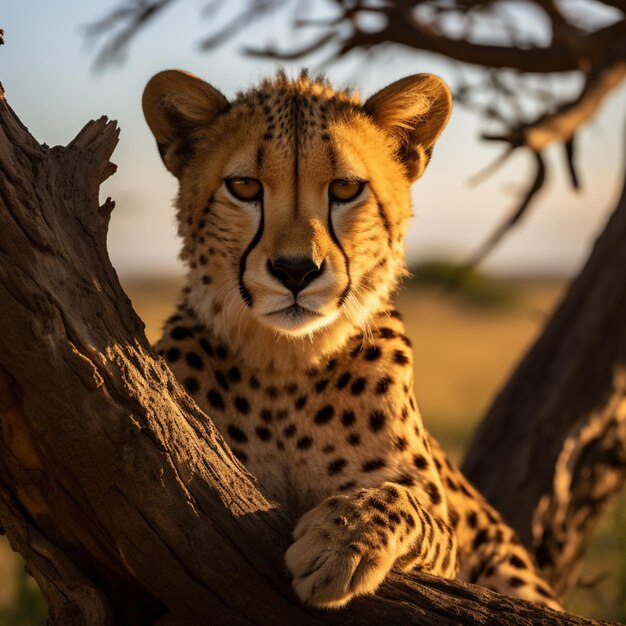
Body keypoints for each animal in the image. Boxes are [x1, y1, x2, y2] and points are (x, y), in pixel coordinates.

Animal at [143, 69, 560, 608]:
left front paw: (341, 538)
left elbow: (404, 499)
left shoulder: (448, 541)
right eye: (244, 186)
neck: (284, 365)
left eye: (344, 188)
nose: (295, 270)